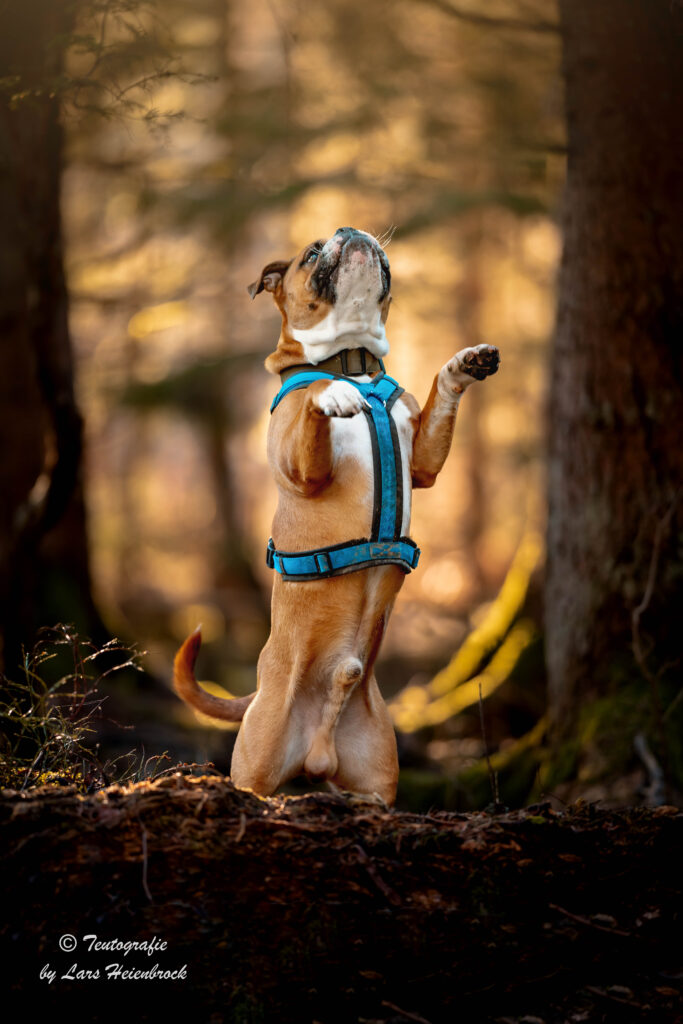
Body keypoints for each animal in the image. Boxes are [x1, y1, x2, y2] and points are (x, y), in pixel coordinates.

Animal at [174, 226, 499, 806]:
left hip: (378, 773)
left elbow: (441, 393)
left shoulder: (424, 461)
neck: (355, 363)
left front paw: (465, 362)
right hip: (256, 767)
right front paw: (332, 395)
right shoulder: (301, 463)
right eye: (310, 253)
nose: (351, 233)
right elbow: (316, 398)